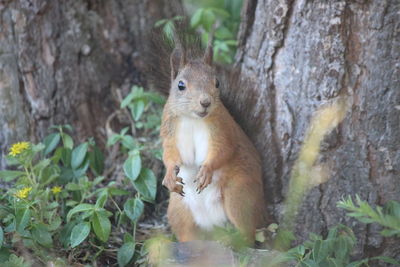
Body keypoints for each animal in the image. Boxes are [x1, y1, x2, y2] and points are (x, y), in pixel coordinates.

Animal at [159, 31, 266, 247]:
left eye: (217, 83)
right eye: (180, 85)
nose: (205, 102)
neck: (192, 119)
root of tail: (212, 222)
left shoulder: (223, 130)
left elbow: (224, 150)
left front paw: (206, 171)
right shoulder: (169, 132)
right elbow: (169, 154)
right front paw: (169, 174)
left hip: (238, 196)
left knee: (247, 234)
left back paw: (230, 241)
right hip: (178, 209)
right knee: (187, 233)